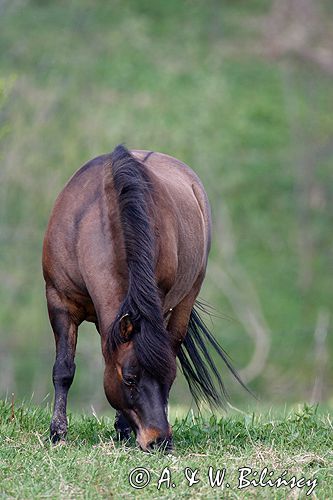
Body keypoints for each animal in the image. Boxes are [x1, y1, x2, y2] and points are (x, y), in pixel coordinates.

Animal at [42, 146, 243, 454]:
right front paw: (57, 434)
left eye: (170, 378)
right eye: (129, 379)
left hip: (185, 300)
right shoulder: (59, 300)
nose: (159, 440)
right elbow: (64, 369)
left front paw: (123, 428)